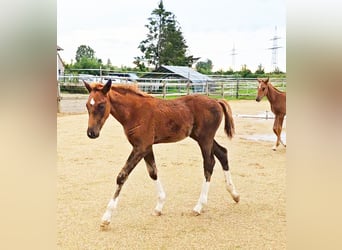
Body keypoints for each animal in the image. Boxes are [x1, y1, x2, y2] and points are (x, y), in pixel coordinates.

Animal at [83, 79, 238, 229]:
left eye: (102, 105)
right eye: (87, 105)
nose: (91, 133)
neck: (134, 112)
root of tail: (216, 101)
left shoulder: (141, 147)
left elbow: (122, 176)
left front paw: (106, 218)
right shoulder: (146, 147)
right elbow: (153, 172)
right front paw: (159, 207)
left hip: (205, 139)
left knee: (209, 163)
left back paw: (199, 206)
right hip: (202, 137)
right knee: (223, 153)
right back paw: (234, 194)